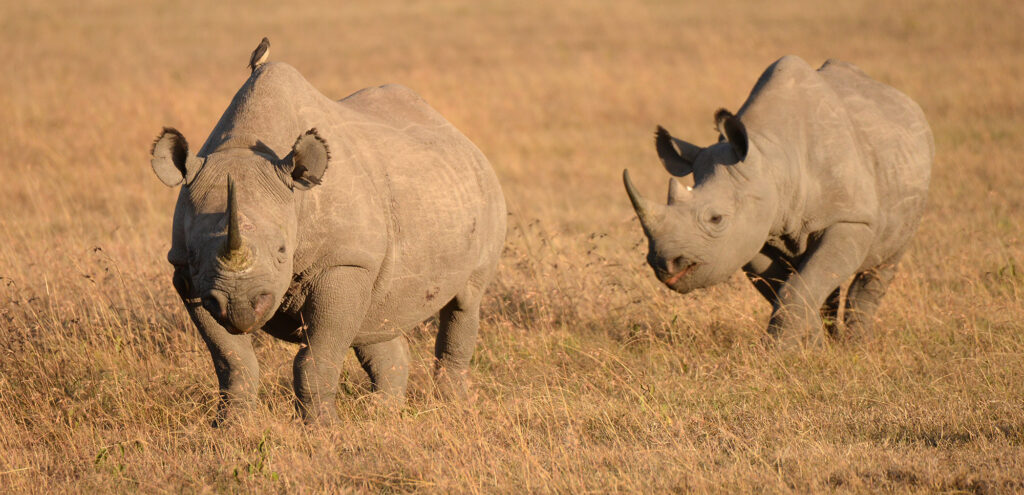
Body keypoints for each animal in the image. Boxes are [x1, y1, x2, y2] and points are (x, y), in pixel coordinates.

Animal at [150, 49, 506, 424]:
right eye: (197, 254)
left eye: (282, 250)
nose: (239, 305)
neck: (243, 147)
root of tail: (461, 136)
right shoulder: (188, 276)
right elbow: (232, 360)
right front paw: (231, 428)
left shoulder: (343, 261)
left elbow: (316, 358)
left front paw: (323, 429)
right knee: (375, 319)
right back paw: (384, 415)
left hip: (482, 191)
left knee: (465, 302)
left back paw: (454, 407)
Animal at [623, 55, 932, 345]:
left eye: (716, 218)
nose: (664, 264)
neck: (770, 159)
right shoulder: (753, 232)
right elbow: (789, 288)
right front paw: (812, 347)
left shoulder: (851, 219)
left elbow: (800, 287)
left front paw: (781, 352)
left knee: (882, 265)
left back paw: (859, 345)